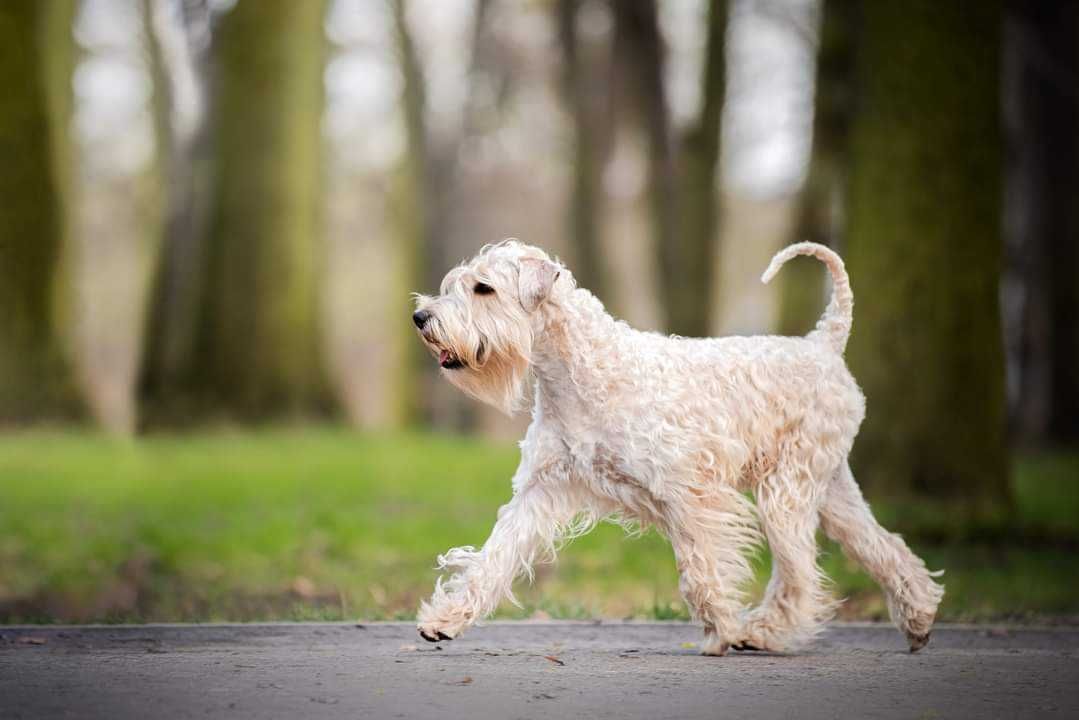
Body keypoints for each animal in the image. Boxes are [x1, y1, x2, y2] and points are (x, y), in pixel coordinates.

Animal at [412, 239, 945, 656]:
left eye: (484, 288)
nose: (420, 316)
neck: (583, 371)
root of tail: (824, 345)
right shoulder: (541, 489)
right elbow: (492, 558)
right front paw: (445, 619)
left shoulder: (690, 494)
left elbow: (702, 570)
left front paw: (723, 630)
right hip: (831, 487)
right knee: (884, 547)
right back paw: (918, 617)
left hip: (786, 490)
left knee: (798, 571)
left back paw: (764, 631)